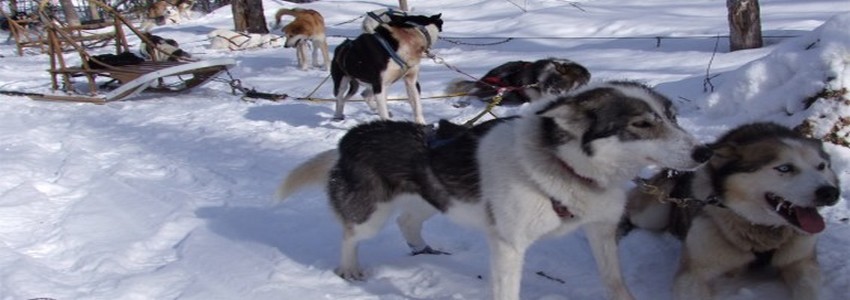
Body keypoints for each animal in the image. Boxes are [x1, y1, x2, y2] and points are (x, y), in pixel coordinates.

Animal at [278, 80, 708, 300]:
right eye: (641, 124)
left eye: (672, 117)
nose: (704, 152)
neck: (563, 166)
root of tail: (352, 136)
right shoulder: (508, 246)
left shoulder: (600, 231)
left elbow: (615, 281)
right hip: (372, 214)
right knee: (351, 234)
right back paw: (349, 269)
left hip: (433, 199)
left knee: (408, 221)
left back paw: (424, 249)